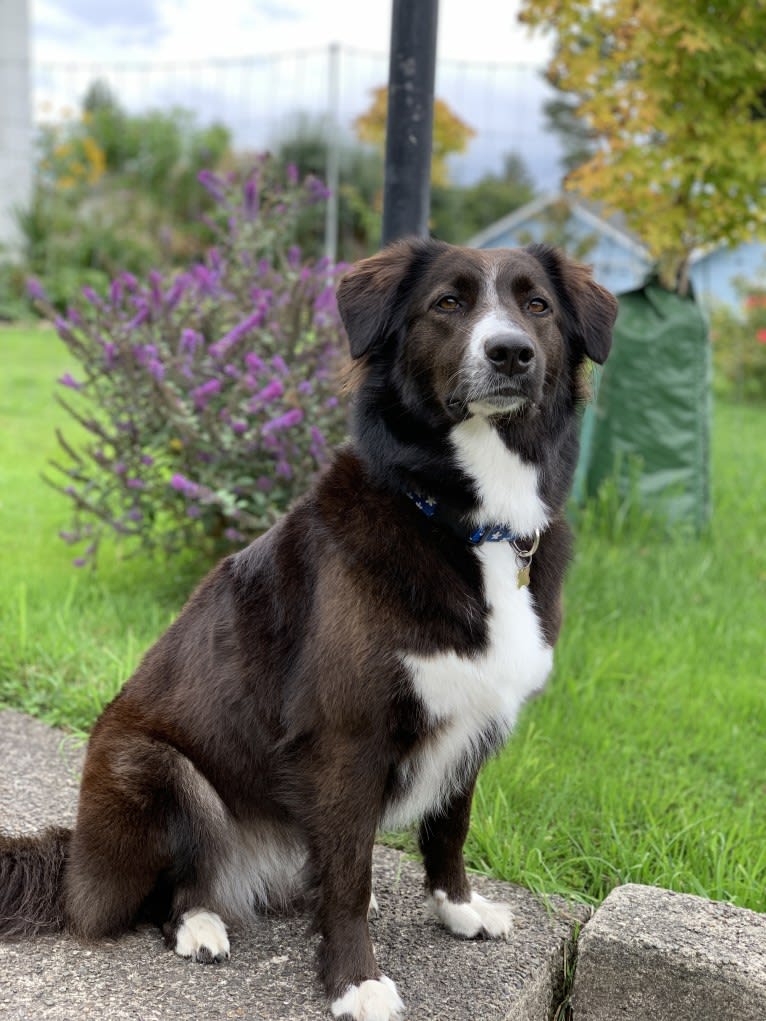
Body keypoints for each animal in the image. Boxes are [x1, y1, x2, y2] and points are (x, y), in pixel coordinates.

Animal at [1, 238, 616, 1021]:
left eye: (536, 304)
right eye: (447, 302)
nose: (510, 353)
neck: (467, 523)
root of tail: (76, 858)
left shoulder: (473, 718)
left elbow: (448, 828)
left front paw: (458, 908)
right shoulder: (348, 736)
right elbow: (349, 873)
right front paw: (355, 981)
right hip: (156, 768)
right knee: (164, 891)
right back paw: (199, 922)